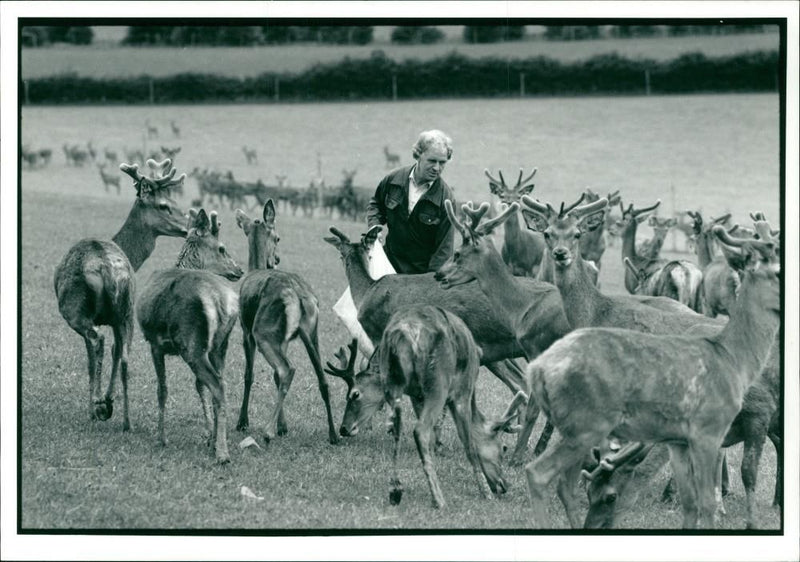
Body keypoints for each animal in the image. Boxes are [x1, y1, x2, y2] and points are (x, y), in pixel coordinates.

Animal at [54, 161, 189, 428]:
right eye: (164, 205)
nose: (189, 226)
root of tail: (105, 267)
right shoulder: (118, 317)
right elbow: (117, 352)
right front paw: (109, 402)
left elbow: (90, 359)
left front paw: (98, 405)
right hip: (127, 309)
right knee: (125, 355)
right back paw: (125, 420)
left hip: (75, 309)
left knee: (98, 340)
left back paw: (97, 404)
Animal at [137, 208, 244, 462]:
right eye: (222, 248)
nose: (239, 270)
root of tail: (220, 300)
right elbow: (198, 386)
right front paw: (208, 434)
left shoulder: (155, 344)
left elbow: (162, 389)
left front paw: (161, 438)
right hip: (219, 344)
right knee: (220, 383)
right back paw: (217, 442)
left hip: (192, 342)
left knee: (218, 386)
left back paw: (222, 453)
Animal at [234, 200, 340, 442]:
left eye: (278, 238)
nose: (276, 259)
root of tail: (300, 296)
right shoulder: (283, 339)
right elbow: (273, 376)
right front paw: (284, 426)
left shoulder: (245, 330)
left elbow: (249, 374)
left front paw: (243, 422)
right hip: (311, 331)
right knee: (323, 379)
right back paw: (334, 434)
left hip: (262, 330)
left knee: (287, 369)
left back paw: (267, 431)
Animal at [322, 310, 528, 508]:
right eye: (503, 447)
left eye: (354, 394)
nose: (503, 485)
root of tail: (402, 336)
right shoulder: (462, 393)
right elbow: (468, 443)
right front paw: (485, 493)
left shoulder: (418, 395)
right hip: (438, 382)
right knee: (420, 430)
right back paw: (439, 500)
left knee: (401, 431)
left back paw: (396, 489)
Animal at [520, 222, 780, 524]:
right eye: (547, 233)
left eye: (609, 496)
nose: (560, 254)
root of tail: (537, 369)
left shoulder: (743, 419)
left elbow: (726, 483)